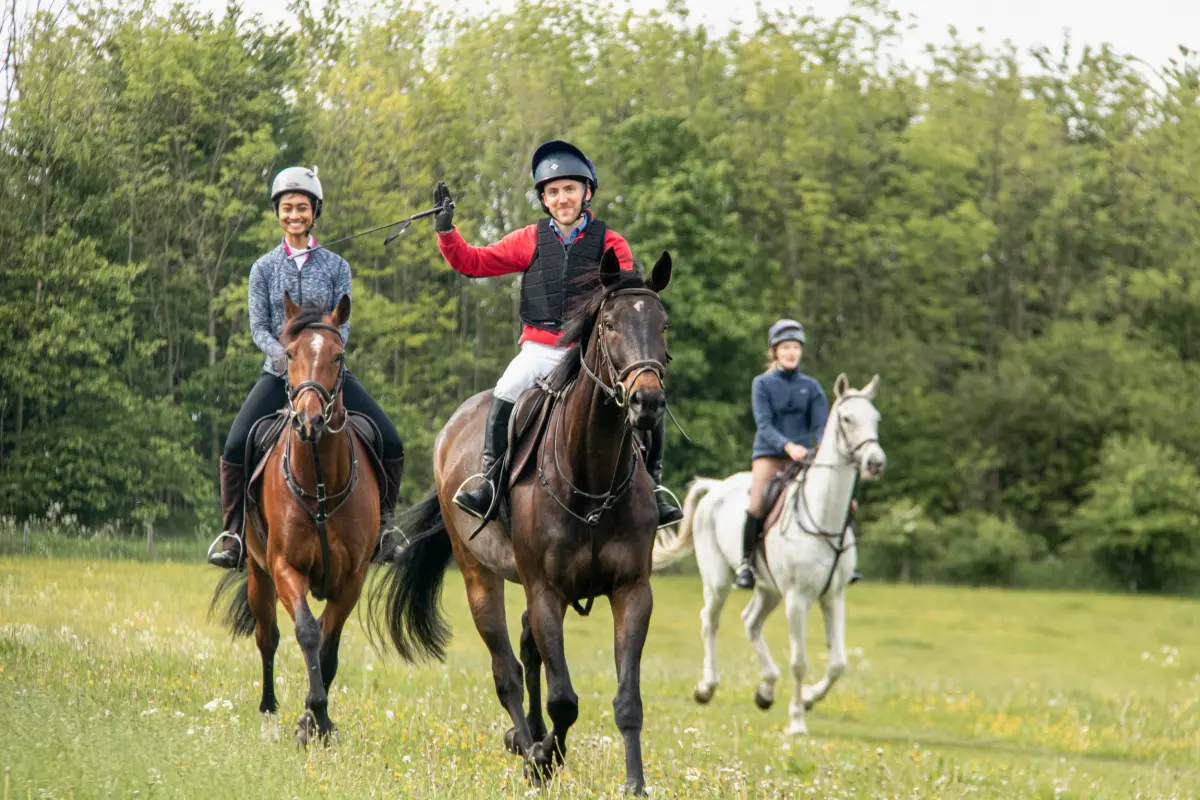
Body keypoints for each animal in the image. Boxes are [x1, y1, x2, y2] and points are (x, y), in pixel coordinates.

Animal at [210, 293, 383, 747]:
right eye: (289, 354)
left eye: (338, 356)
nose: (309, 420)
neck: (321, 483)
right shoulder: (285, 566)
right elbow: (306, 632)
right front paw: (317, 715)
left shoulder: (353, 577)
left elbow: (327, 645)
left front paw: (313, 721)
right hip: (258, 573)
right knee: (267, 638)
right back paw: (269, 711)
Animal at [372, 248, 673, 794]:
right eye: (611, 324)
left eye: (662, 325)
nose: (648, 401)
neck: (591, 475)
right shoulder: (545, 591)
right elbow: (563, 700)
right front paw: (541, 756)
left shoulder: (632, 591)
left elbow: (626, 699)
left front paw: (634, 783)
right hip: (479, 578)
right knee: (507, 669)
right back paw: (525, 738)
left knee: (529, 651)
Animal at [651, 374, 885, 735]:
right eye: (847, 419)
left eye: (875, 418)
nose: (875, 462)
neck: (823, 518)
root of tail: (716, 488)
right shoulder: (798, 599)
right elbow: (800, 662)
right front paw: (797, 721)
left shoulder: (834, 596)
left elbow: (838, 664)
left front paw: (809, 699)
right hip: (719, 581)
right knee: (710, 621)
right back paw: (707, 687)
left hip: (769, 589)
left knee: (750, 621)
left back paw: (766, 689)